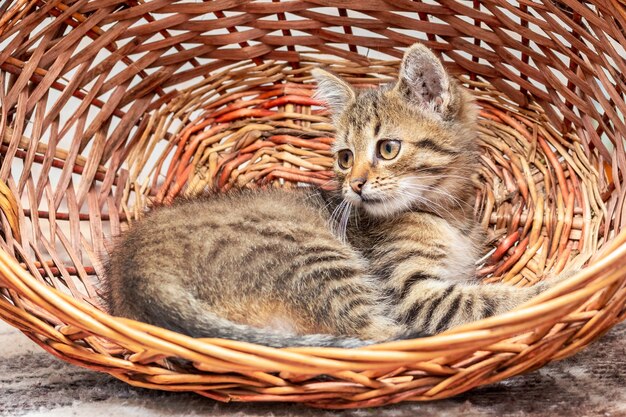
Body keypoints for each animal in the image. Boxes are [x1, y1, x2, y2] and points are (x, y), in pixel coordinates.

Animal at [105, 43, 552, 348]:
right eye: (345, 157)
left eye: (388, 148)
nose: (354, 185)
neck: (444, 212)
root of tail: (133, 269)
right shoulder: (413, 293)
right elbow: (483, 302)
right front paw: (553, 288)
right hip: (314, 255)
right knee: (377, 335)